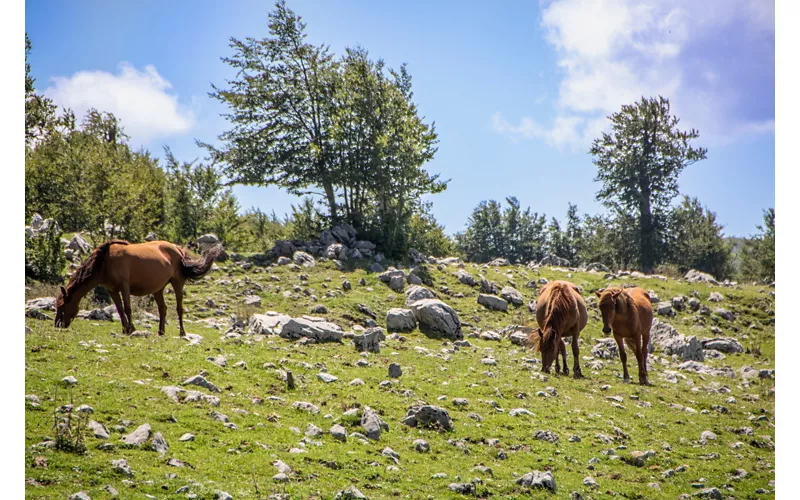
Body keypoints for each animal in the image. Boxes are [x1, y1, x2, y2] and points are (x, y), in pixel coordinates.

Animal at [54, 239, 222, 336]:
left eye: (62, 306)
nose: (57, 325)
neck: (105, 262)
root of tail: (177, 249)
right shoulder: (112, 289)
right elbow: (120, 309)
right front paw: (124, 329)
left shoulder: (124, 286)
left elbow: (127, 308)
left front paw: (131, 329)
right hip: (158, 289)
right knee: (163, 308)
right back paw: (161, 332)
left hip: (177, 282)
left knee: (179, 308)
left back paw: (182, 332)